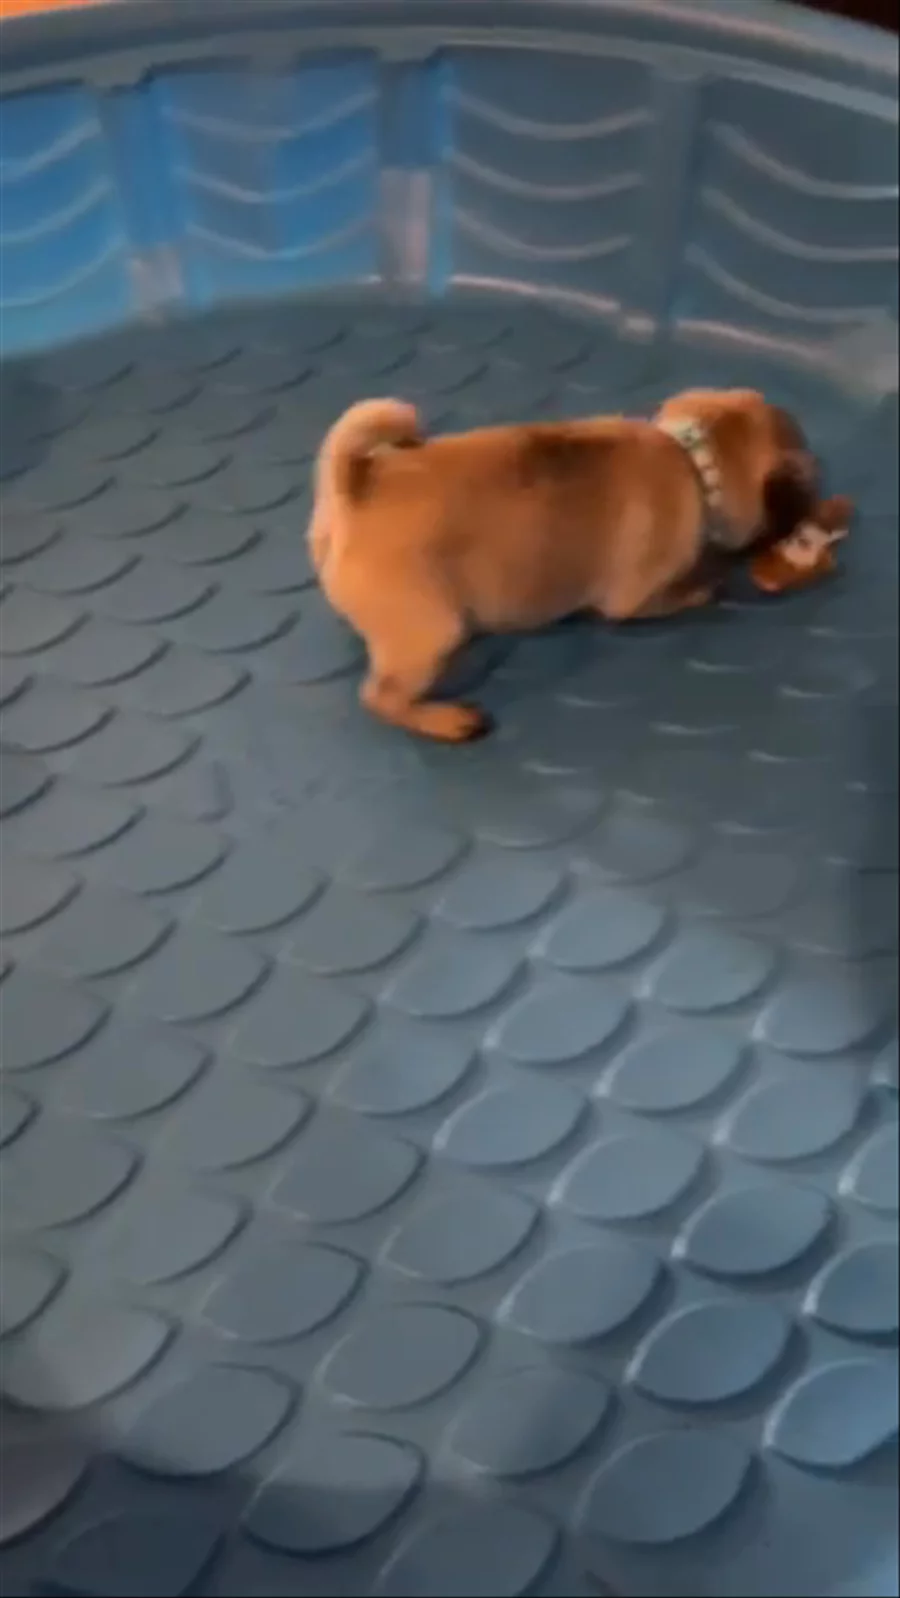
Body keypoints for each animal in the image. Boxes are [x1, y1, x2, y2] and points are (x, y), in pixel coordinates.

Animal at [308, 388, 820, 742]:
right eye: (800, 490)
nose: (810, 515)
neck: (694, 461)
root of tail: (356, 491)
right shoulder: (634, 602)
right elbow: (680, 593)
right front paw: (704, 586)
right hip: (432, 634)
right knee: (381, 698)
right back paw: (445, 720)